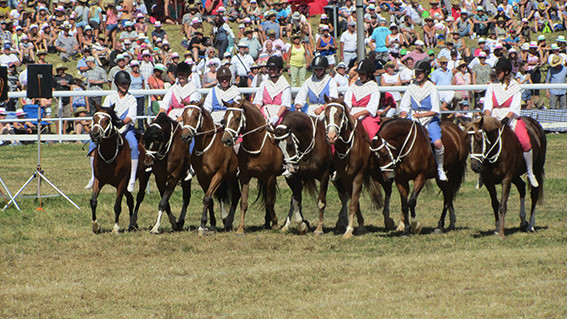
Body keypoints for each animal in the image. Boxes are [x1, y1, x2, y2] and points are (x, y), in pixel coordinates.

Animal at [87, 106, 148, 234]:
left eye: (106, 120)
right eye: (94, 118)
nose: (94, 134)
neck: (109, 154)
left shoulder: (121, 182)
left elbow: (117, 206)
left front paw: (116, 228)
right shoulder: (99, 180)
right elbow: (93, 201)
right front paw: (95, 226)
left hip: (143, 177)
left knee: (139, 197)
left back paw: (134, 220)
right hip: (124, 186)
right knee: (130, 199)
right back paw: (131, 224)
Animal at [181, 104, 241, 236]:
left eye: (196, 116)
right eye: (183, 115)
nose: (185, 137)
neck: (207, 148)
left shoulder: (218, 175)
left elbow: (207, 198)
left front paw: (203, 225)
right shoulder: (203, 177)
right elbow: (209, 200)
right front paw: (211, 225)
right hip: (232, 177)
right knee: (236, 195)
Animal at [221, 99, 284, 235]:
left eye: (237, 118)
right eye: (224, 119)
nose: (226, 140)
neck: (256, 144)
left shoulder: (270, 177)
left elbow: (270, 202)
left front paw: (275, 223)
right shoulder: (245, 177)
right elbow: (244, 202)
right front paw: (240, 228)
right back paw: (266, 223)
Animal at [324, 96, 394, 239]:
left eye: (340, 114)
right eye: (326, 115)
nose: (331, 136)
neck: (349, 147)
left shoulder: (358, 176)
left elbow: (353, 204)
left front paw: (348, 230)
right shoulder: (345, 178)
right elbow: (354, 202)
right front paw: (359, 226)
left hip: (382, 173)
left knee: (388, 188)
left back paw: (389, 220)